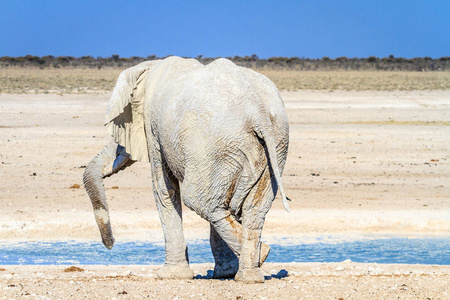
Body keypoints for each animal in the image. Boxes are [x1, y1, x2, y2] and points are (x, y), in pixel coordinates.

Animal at [82, 56, 290, 284]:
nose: (110, 244)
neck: (150, 67)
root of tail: (258, 112)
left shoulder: (152, 130)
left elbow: (164, 190)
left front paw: (171, 275)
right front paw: (225, 273)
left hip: (214, 146)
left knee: (202, 202)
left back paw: (261, 256)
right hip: (272, 145)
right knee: (251, 208)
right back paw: (252, 273)